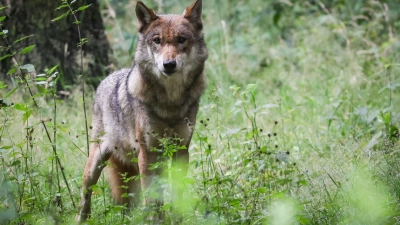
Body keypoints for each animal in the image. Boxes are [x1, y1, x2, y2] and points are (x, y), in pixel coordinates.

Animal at [75, 0, 208, 221]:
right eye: (157, 40)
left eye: (181, 40)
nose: (168, 64)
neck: (170, 102)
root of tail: (106, 78)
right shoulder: (147, 153)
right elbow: (151, 197)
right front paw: (154, 221)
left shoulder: (181, 150)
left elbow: (177, 193)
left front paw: (177, 219)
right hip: (95, 164)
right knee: (85, 196)